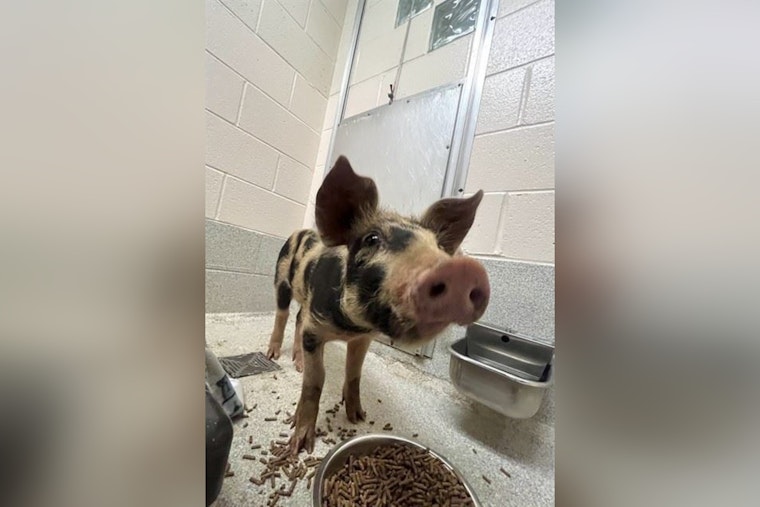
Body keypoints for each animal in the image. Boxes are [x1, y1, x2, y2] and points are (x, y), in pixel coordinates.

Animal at [266, 156, 490, 454]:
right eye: (371, 239)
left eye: (439, 246)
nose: (463, 270)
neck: (349, 327)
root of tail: (301, 230)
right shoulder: (316, 329)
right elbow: (316, 381)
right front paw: (300, 445)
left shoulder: (363, 338)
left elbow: (354, 373)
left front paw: (358, 417)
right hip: (281, 278)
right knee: (282, 314)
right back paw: (272, 356)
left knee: (299, 317)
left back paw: (298, 363)